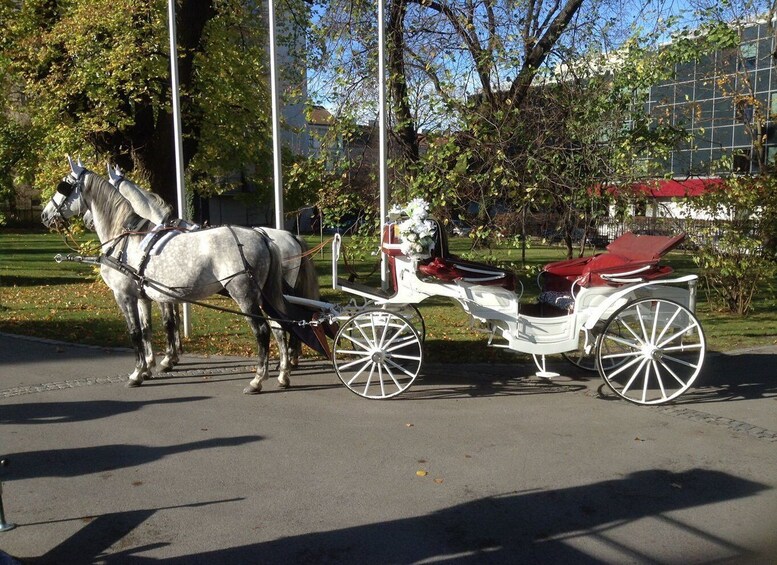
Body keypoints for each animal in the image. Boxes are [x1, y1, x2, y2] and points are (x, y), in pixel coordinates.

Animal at [44, 163, 294, 392]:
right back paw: (283, 375)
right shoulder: (146, 295)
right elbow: (149, 329)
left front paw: (138, 373)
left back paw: (258, 379)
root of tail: (262, 237)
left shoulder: (125, 295)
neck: (124, 236)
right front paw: (150, 367)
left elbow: (137, 332)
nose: (45, 215)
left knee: (262, 331)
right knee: (279, 327)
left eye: (64, 185)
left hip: (244, 294)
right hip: (264, 295)